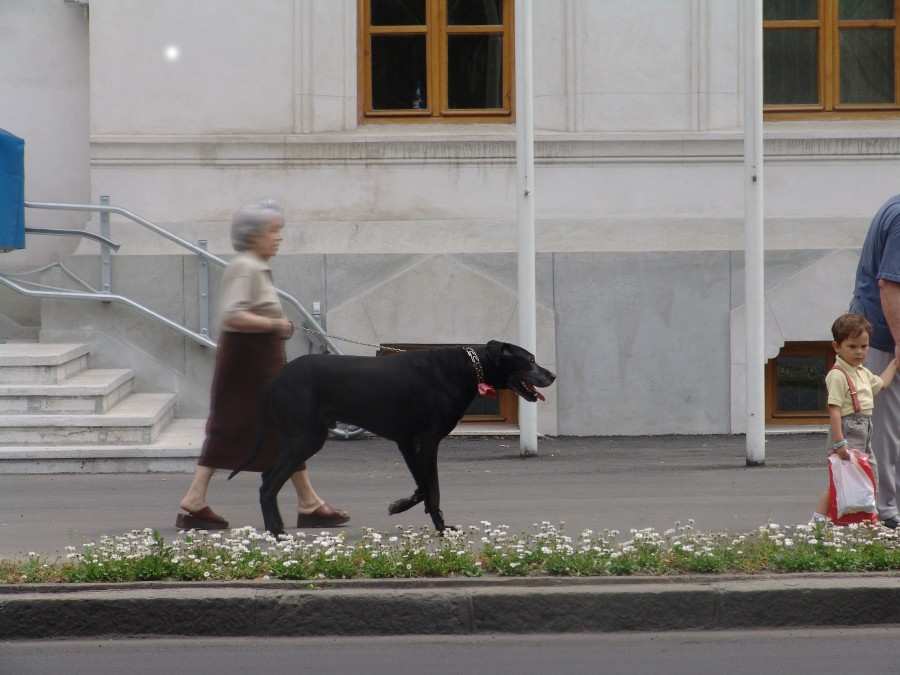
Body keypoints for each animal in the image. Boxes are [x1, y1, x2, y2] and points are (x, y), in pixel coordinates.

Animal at [230, 340, 556, 536]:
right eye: (530, 361)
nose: (552, 376)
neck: (467, 367)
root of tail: (275, 380)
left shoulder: (407, 441)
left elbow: (423, 487)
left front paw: (400, 505)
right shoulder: (428, 440)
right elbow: (433, 489)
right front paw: (442, 527)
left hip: (301, 437)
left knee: (267, 476)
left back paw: (275, 527)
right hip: (306, 438)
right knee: (268, 486)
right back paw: (276, 532)